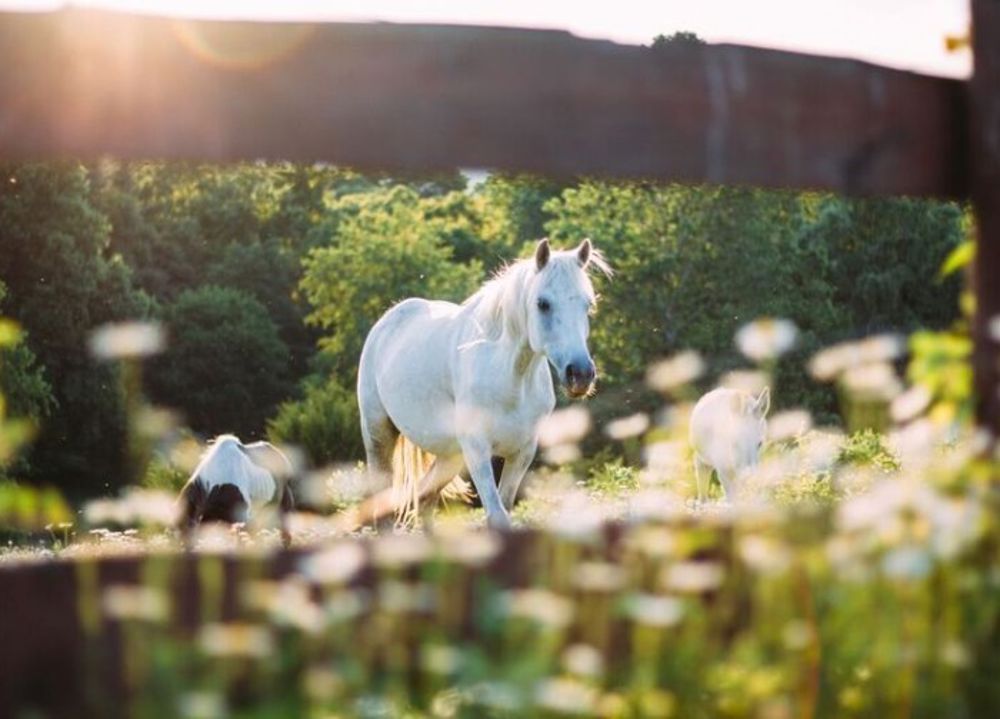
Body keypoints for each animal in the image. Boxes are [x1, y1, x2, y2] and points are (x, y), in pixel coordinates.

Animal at [356, 239, 612, 524]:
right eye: (543, 303)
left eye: (588, 305)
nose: (580, 374)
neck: (510, 381)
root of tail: (388, 320)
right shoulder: (477, 449)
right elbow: (497, 515)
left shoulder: (522, 451)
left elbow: (505, 507)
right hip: (378, 435)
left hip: (450, 456)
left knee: (425, 500)